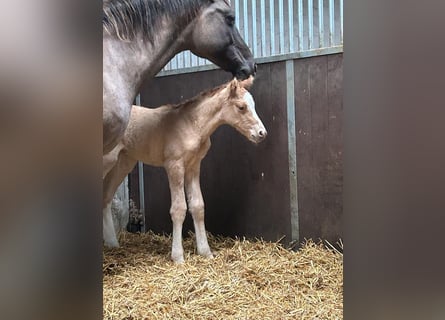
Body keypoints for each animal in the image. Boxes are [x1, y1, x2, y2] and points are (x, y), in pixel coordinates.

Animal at [102, 77, 266, 262]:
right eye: (241, 107)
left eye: (253, 105)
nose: (262, 133)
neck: (192, 125)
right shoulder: (174, 165)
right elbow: (179, 208)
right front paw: (178, 257)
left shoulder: (194, 166)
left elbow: (198, 206)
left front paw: (205, 251)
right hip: (108, 160)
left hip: (124, 162)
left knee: (106, 197)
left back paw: (112, 243)